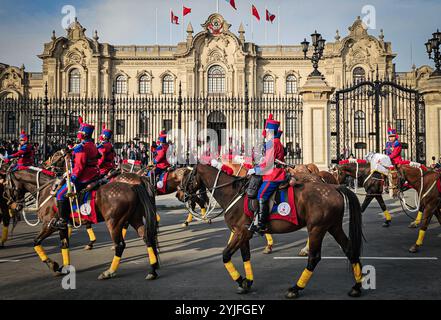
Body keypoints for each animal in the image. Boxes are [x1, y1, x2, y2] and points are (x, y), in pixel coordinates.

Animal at [3, 159, 160, 280]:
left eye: (6, 185)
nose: (13, 205)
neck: (48, 191)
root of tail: (133, 185)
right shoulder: (62, 226)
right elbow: (64, 245)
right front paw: (65, 266)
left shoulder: (49, 225)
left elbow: (36, 242)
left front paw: (53, 265)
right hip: (135, 218)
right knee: (147, 238)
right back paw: (152, 270)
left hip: (114, 222)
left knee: (120, 245)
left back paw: (109, 271)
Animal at [177, 164, 362, 298]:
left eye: (187, 177)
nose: (181, 195)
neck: (233, 193)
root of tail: (334, 187)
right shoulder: (243, 234)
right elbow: (246, 257)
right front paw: (247, 282)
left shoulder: (241, 233)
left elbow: (225, 255)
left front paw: (241, 281)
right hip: (333, 226)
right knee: (350, 250)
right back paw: (357, 286)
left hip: (317, 229)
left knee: (314, 258)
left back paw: (295, 288)